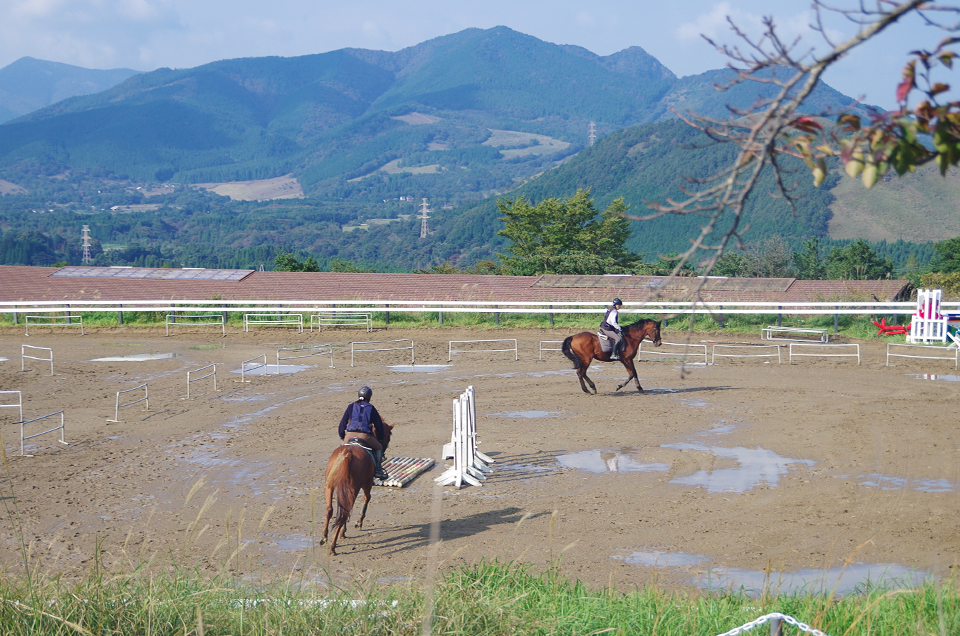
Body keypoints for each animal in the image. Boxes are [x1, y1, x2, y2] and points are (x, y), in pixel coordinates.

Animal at [319, 423, 393, 555]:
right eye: (388, 437)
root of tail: (348, 453)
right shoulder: (367, 484)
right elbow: (367, 498)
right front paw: (359, 523)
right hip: (354, 489)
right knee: (346, 511)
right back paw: (333, 545)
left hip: (330, 487)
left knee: (330, 510)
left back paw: (325, 537)